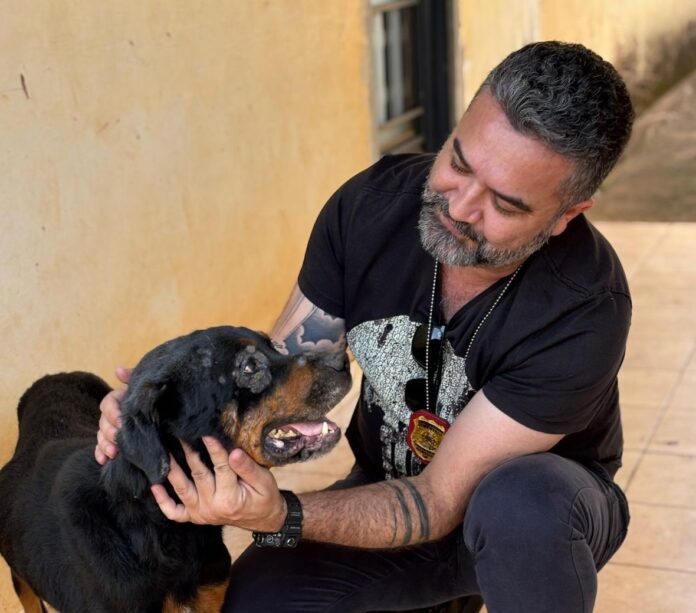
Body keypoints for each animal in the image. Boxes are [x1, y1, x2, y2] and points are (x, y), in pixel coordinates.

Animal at [0, 326, 352, 612]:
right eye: (249, 367)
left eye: (276, 346)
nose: (344, 359)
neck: (157, 527)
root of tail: (50, 376)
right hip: (21, 580)